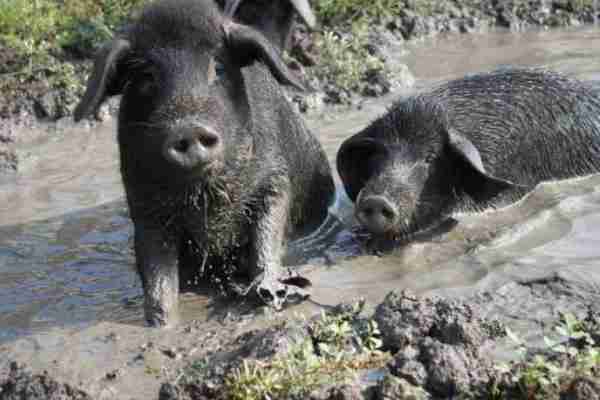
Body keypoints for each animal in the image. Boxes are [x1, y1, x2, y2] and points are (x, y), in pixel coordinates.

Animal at [73, 0, 336, 328]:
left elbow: (267, 237)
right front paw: (162, 325)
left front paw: (269, 294)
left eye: (218, 67)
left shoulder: (275, 179)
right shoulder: (144, 206)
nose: (188, 128)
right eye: (147, 77)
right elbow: (158, 277)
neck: (205, 198)